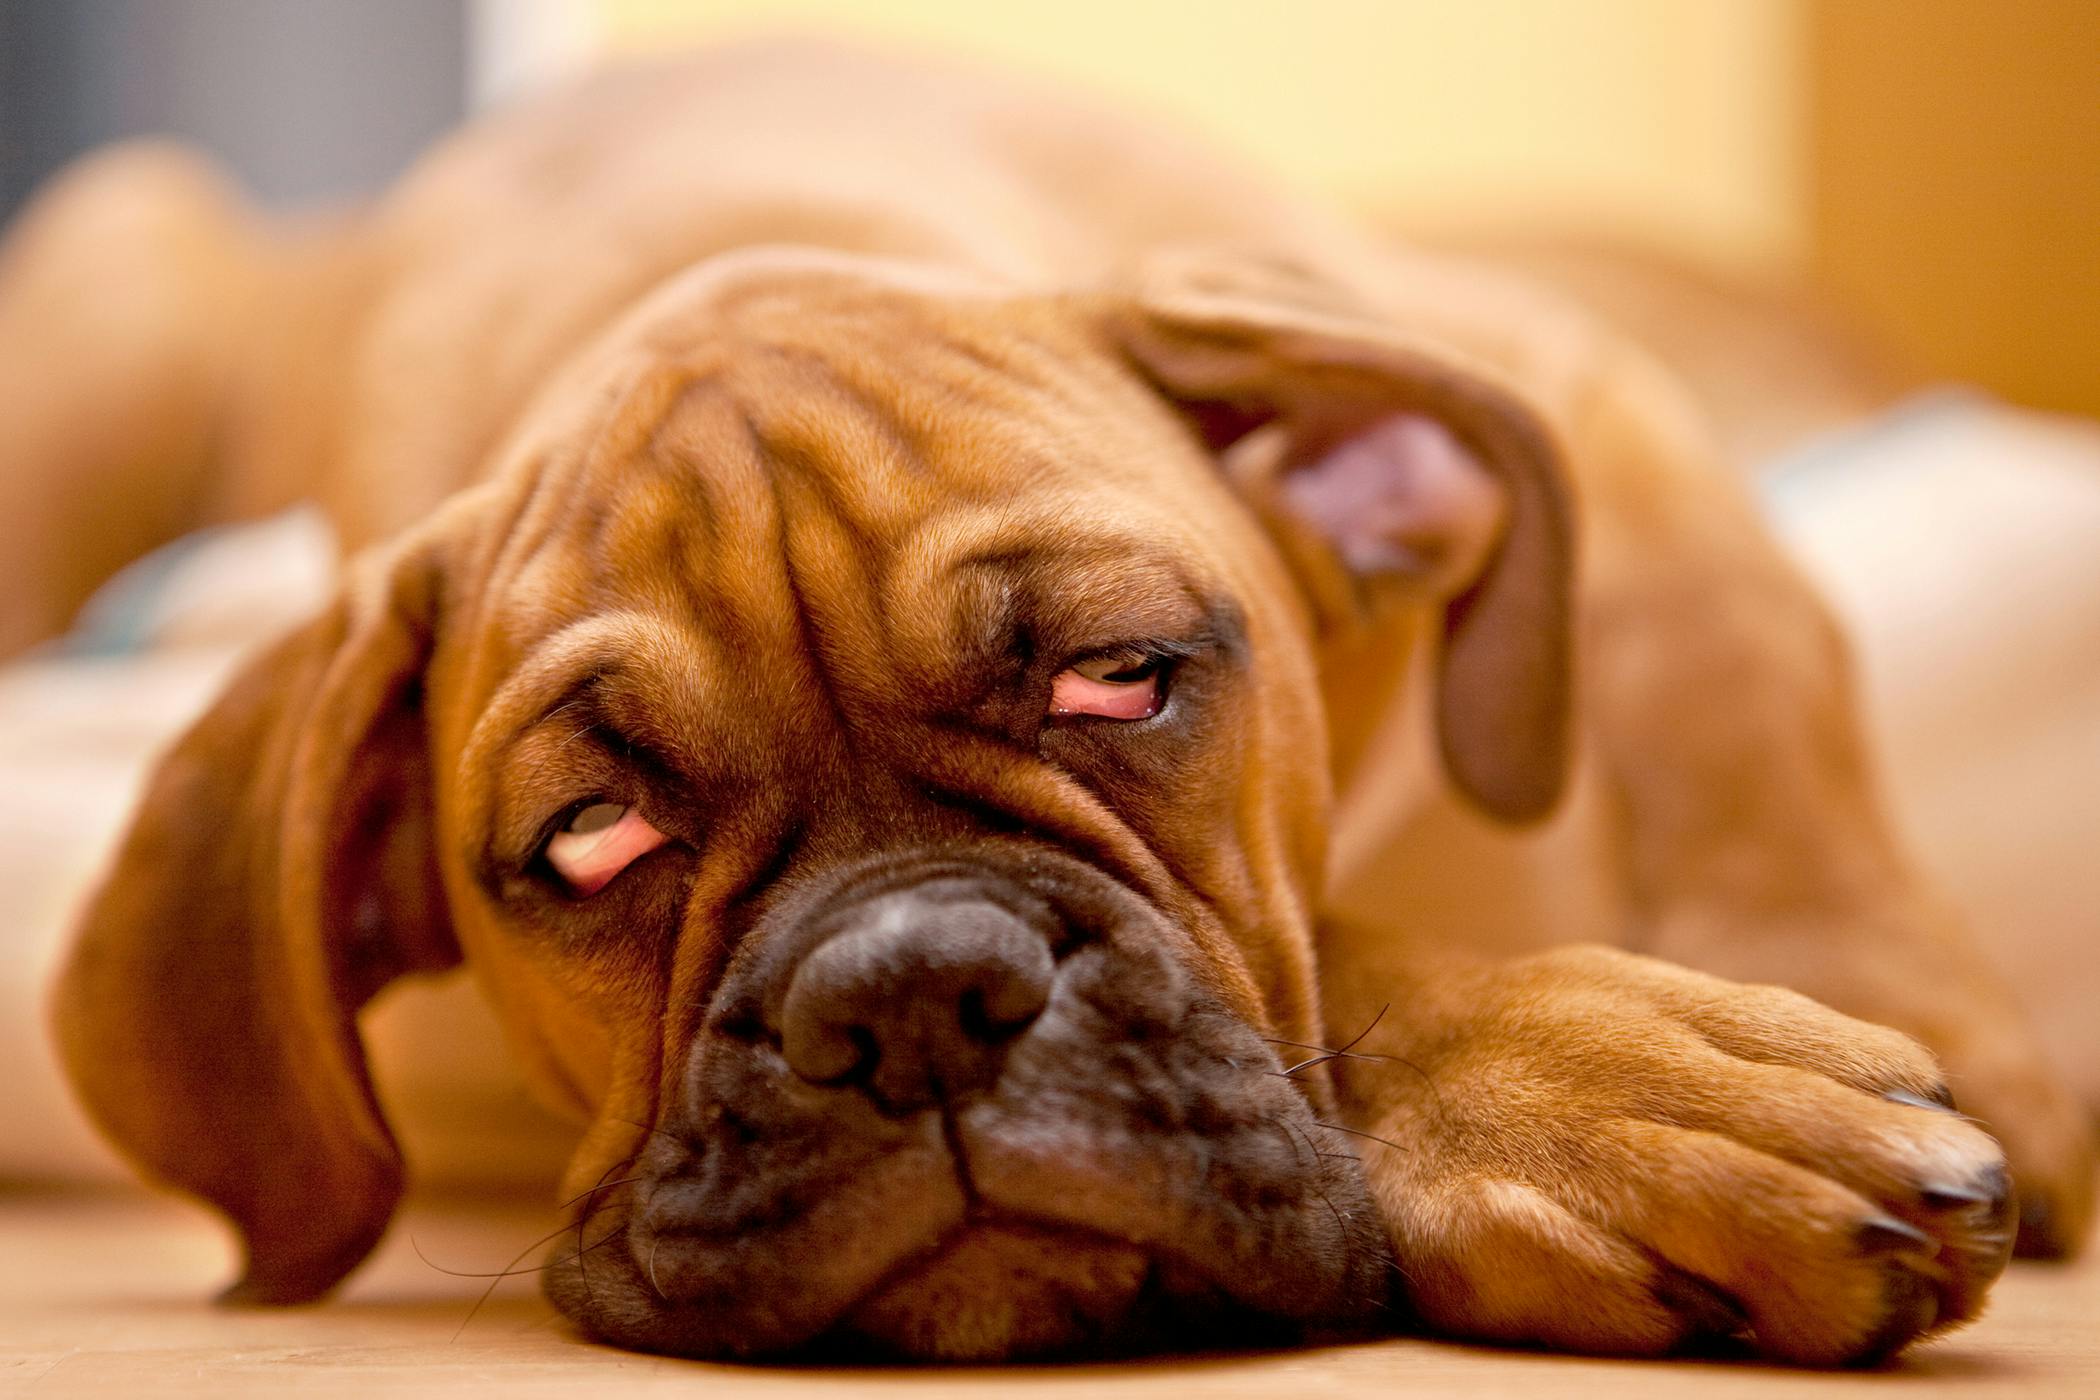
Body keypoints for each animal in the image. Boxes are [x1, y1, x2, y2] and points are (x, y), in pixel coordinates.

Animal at [8, 41, 2091, 1368]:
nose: (909, 997)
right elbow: (1330, 956)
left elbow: (1747, 668)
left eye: (1121, 678)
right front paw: (1602, 1093)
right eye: (592, 840)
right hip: (120, 278)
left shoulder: (1565, 378)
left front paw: (1862, 989)